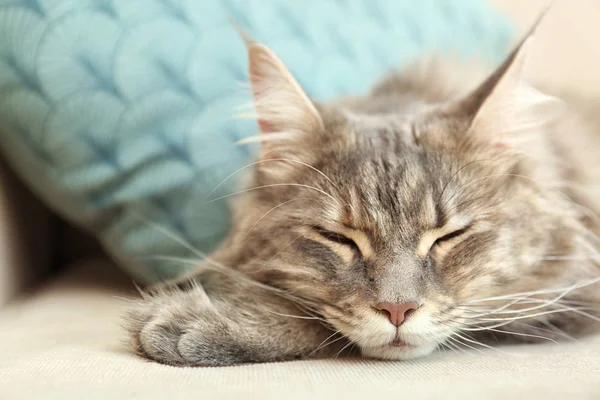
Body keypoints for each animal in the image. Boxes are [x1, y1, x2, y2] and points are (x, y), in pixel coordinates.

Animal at [125, 17, 600, 366]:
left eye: (449, 237)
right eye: (337, 238)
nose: (398, 311)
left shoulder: (569, 295)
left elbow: (318, 324)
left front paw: (206, 323)